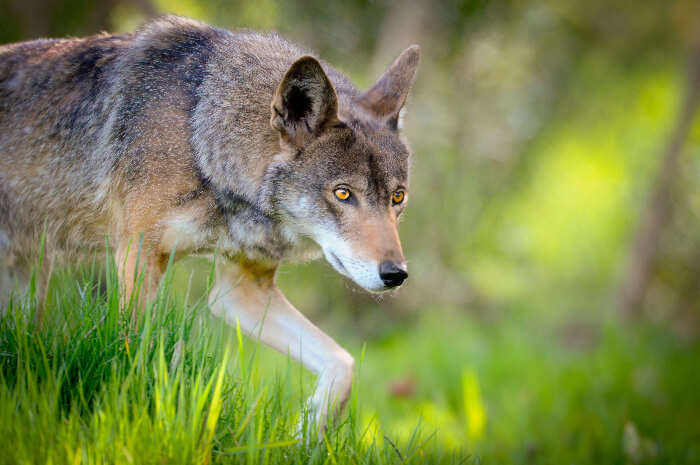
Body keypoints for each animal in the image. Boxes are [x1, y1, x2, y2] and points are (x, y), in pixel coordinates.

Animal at [0, 15, 419, 431]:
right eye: (343, 194)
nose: (395, 274)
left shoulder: (240, 290)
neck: (199, 136)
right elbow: (135, 353)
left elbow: (344, 364)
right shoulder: (138, 255)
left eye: (397, 197)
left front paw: (308, 431)